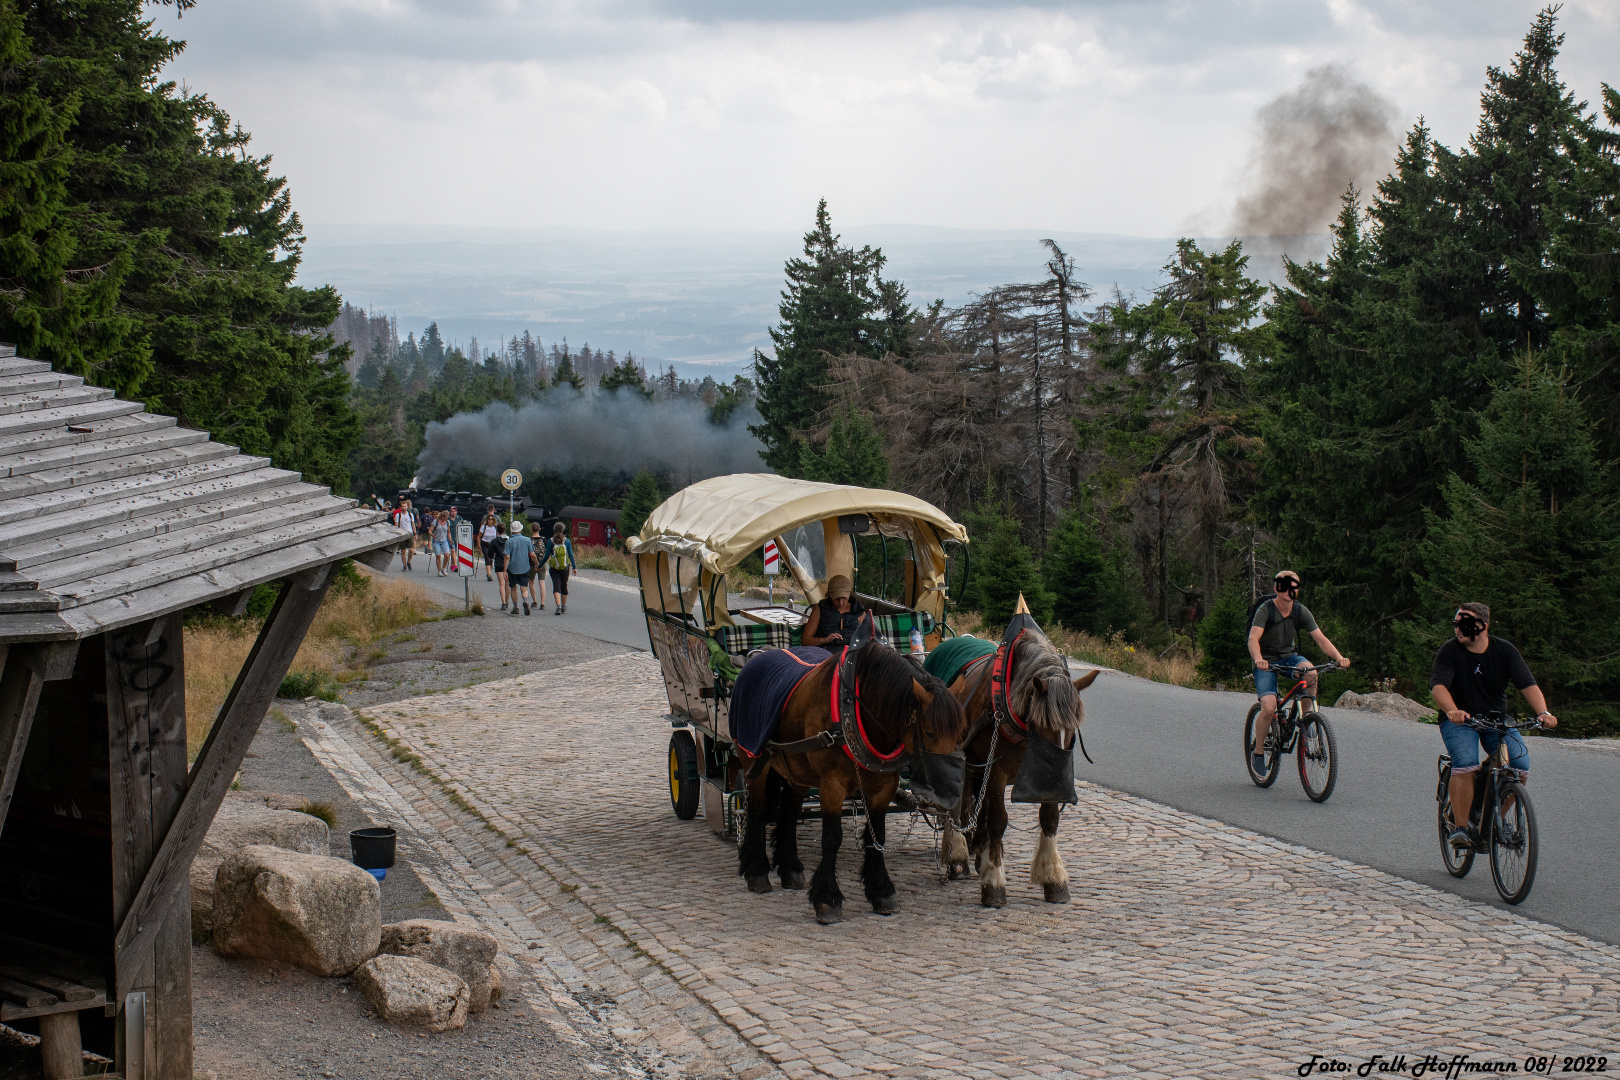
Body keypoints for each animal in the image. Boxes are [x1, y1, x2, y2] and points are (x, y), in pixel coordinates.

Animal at [741, 641, 965, 932]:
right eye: (929, 733)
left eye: (960, 734)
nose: (948, 799)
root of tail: (760, 655)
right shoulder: (832, 785)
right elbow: (832, 839)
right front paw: (827, 899)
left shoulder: (884, 786)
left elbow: (877, 837)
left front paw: (881, 891)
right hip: (753, 761)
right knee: (756, 811)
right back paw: (757, 871)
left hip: (797, 768)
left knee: (789, 810)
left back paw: (790, 868)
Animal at [939, 628, 1101, 906]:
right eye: (1040, 725)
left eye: (1071, 731)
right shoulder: (996, 771)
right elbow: (998, 820)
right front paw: (994, 882)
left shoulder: (1051, 780)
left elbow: (1049, 818)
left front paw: (1053, 877)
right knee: (957, 803)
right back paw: (959, 855)